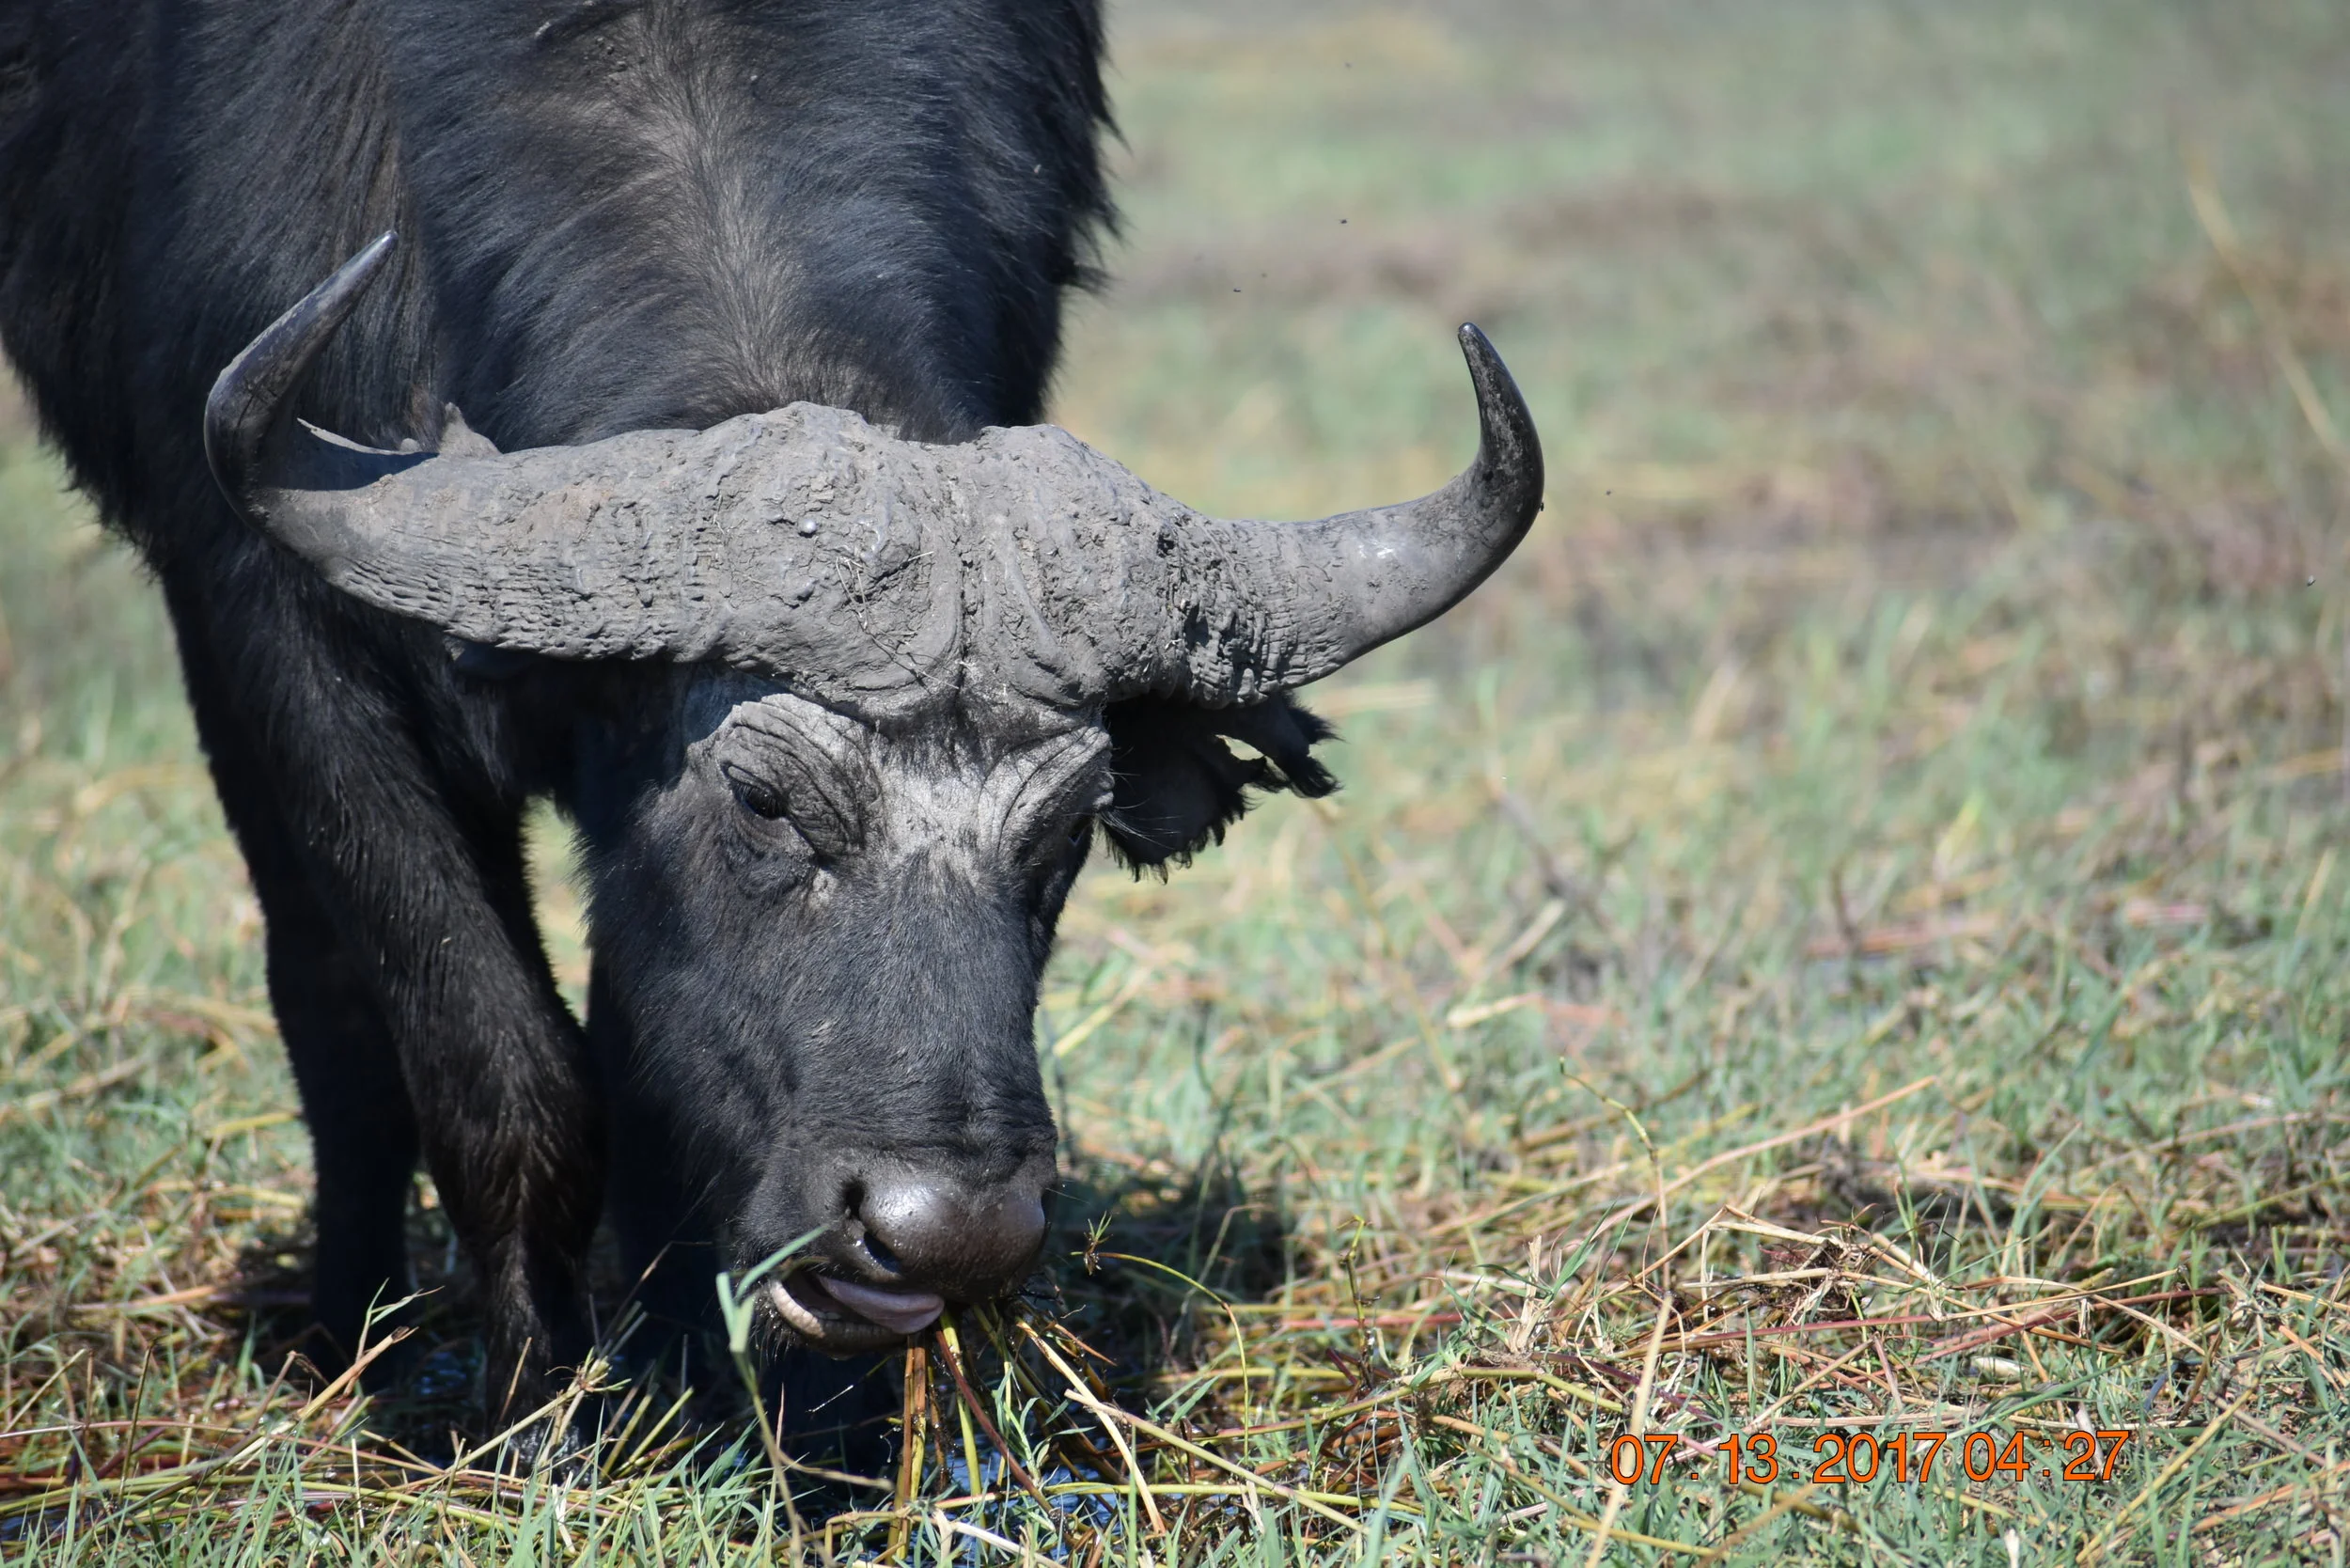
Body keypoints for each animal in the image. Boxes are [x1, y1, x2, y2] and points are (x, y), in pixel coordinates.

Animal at [0, 0, 1541, 1434]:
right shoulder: (273, 630)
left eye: (1070, 830)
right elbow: (501, 1076)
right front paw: (539, 1420)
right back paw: (345, 1336)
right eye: (762, 799)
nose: (944, 1235)